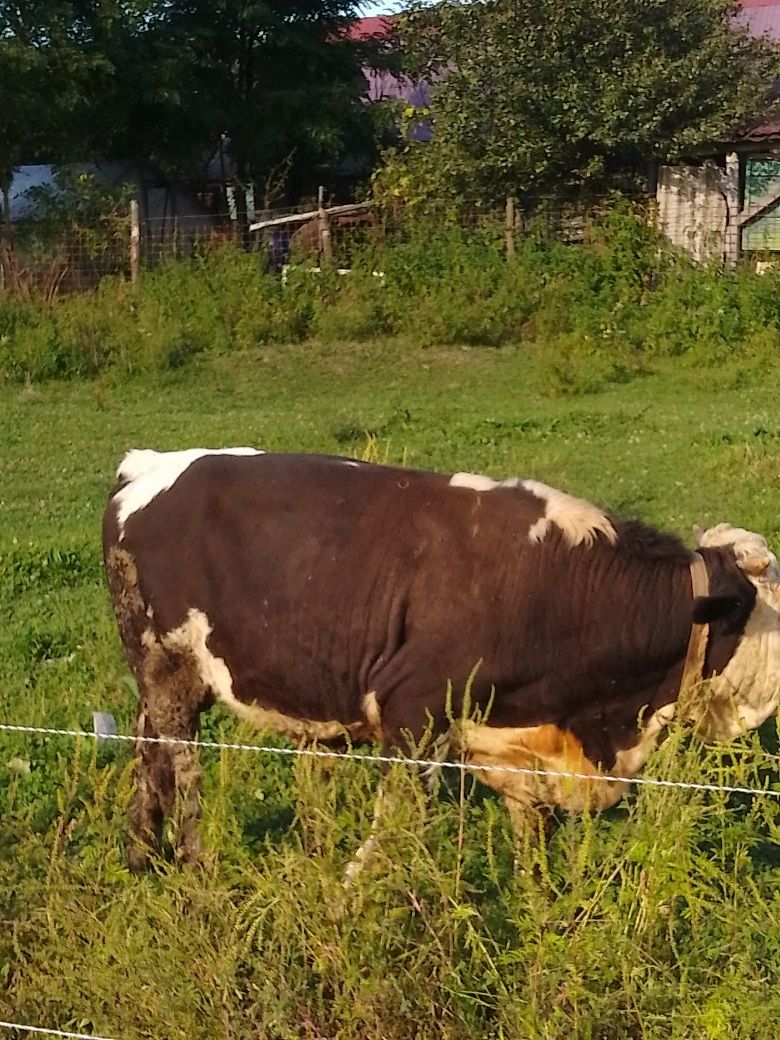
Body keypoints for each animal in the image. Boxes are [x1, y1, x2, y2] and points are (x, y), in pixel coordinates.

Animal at [102, 447, 780, 869]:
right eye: (763, 603)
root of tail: (148, 464)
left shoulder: (520, 746)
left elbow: (533, 856)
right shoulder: (410, 709)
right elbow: (390, 838)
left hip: (158, 676)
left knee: (145, 752)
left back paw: (140, 855)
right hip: (170, 666)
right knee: (180, 759)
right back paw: (193, 862)